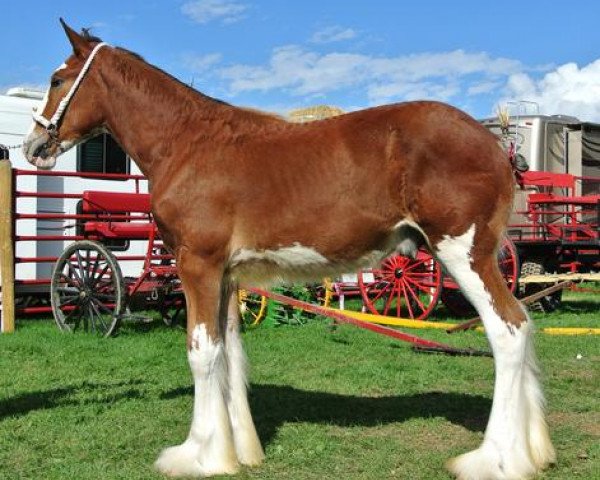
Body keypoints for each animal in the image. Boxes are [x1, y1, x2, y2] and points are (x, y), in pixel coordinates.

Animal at [24, 19, 556, 480]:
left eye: (56, 79)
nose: (33, 145)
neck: (188, 143)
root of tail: (498, 148)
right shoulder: (227, 276)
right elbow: (230, 355)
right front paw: (235, 452)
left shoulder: (197, 266)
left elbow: (201, 352)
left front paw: (196, 455)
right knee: (523, 326)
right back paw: (531, 453)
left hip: (464, 255)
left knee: (508, 332)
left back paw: (494, 459)